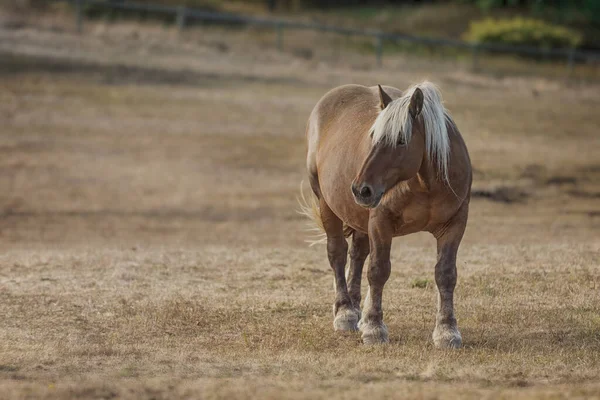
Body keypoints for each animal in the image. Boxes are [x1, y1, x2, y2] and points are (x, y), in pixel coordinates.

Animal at [302, 81, 472, 346]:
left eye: (401, 140)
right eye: (373, 136)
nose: (361, 189)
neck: (426, 184)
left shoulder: (455, 224)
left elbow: (445, 274)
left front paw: (447, 331)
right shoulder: (381, 222)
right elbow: (378, 270)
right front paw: (374, 328)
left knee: (357, 254)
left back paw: (356, 310)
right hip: (327, 204)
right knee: (337, 253)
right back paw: (345, 312)